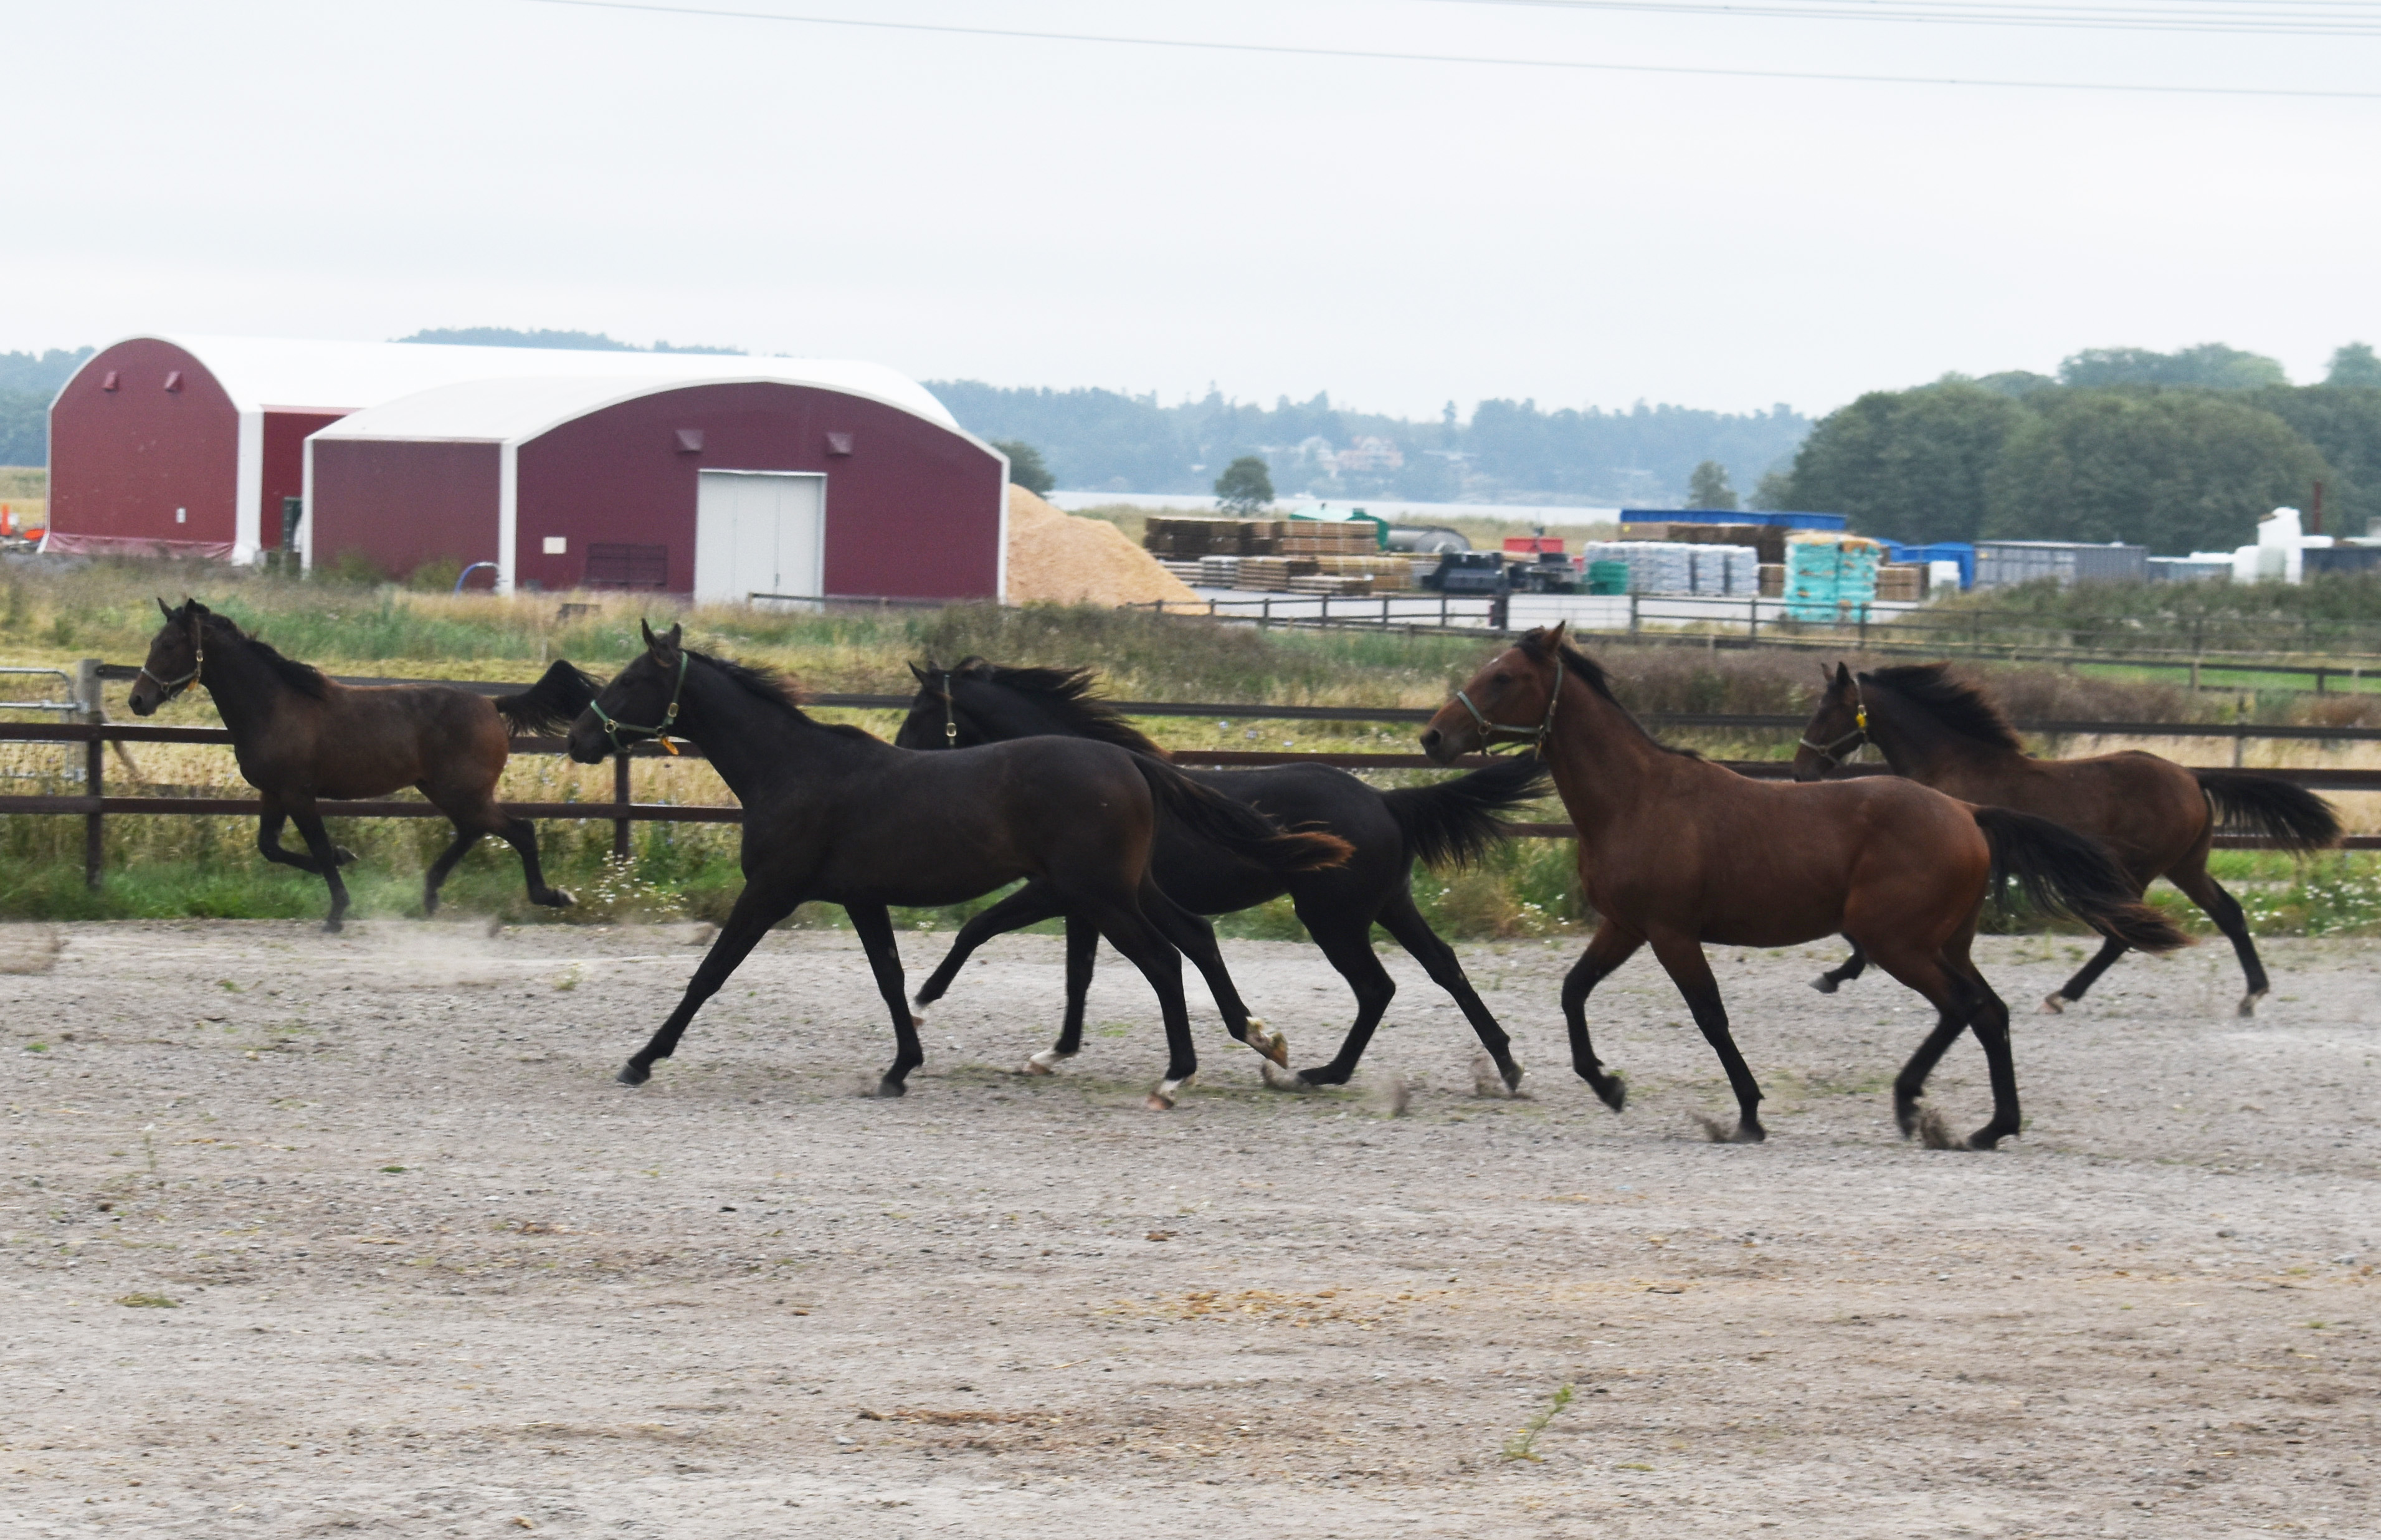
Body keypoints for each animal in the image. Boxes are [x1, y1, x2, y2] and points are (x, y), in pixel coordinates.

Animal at [125, 592, 600, 928]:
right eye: (152, 642)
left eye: (170, 645)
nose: (138, 700)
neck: (274, 705)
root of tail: (491, 704)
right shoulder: (273, 794)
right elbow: (271, 848)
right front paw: (344, 857)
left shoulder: (299, 795)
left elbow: (315, 847)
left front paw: (337, 909)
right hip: (446, 790)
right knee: (474, 831)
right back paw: (430, 896)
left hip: (462, 791)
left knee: (519, 831)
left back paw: (551, 896)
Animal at [552, 628, 1343, 1109]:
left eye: (630, 680)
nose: (579, 738)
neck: (795, 770)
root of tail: (1130, 762)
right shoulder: (861, 899)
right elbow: (891, 978)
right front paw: (901, 1067)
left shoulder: (772, 891)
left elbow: (710, 974)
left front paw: (641, 1058)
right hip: (1125, 888)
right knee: (1191, 939)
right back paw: (1255, 1040)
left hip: (1099, 894)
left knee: (1162, 960)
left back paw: (1176, 1078)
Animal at [890, 657, 1542, 1090]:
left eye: (920, 711)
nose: (898, 756)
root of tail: (1388, 801)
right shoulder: (1085, 903)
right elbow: (1079, 976)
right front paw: (1051, 1055)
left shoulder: (1059, 892)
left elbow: (977, 929)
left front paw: (922, 1003)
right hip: (1389, 905)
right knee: (1443, 967)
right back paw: (1507, 1066)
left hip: (1334, 918)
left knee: (1376, 986)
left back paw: (1318, 1073)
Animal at [1419, 619, 2180, 1152]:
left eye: (1503, 678)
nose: (1432, 738)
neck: (1637, 798)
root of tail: (1966, 812)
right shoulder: (1625, 927)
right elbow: (1573, 990)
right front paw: (1606, 1085)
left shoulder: (1671, 933)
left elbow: (1711, 1018)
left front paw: (1749, 1114)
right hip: (1945, 943)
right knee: (1989, 1012)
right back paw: (1993, 1126)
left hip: (1899, 943)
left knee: (1961, 1008)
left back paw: (1912, 1103)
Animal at [1790, 657, 2333, 1019]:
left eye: (1827, 710)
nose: (1800, 771)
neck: (1949, 765)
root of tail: (2192, 777)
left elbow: (1867, 933)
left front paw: (1833, 976)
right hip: (2186, 867)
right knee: (2228, 913)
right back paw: (2251, 995)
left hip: (2138, 870)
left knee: (2121, 935)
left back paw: (2062, 996)